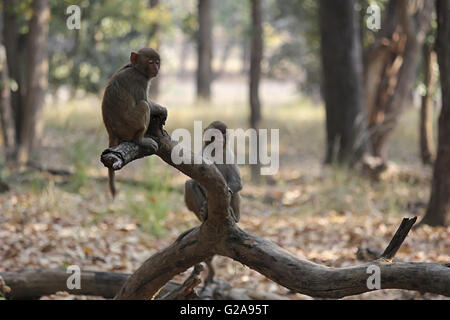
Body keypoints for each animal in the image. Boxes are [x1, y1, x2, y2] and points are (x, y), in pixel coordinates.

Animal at [101, 47, 166, 198]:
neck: (136, 68)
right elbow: (146, 102)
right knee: (144, 105)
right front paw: (162, 110)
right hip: (129, 126)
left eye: (157, 62)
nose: (156, 67)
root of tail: (111, 132)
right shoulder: (139, 80)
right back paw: (140, 140)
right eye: (150, 62)